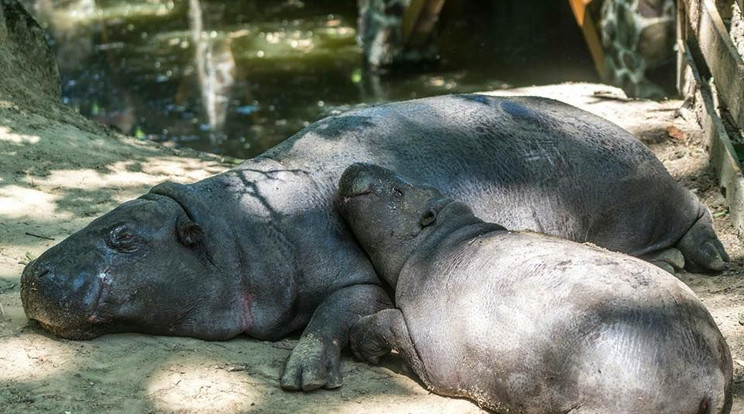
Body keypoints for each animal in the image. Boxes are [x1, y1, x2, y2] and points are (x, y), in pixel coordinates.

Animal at [338, 163, 732, 412]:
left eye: (398, 190)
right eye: (404, 181)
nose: (356, 163)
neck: (441, 240)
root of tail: (711, 377)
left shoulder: (424, 344)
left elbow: (387, 320)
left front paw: (361, 346)